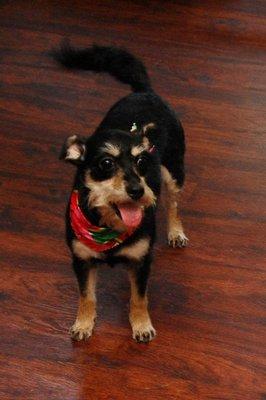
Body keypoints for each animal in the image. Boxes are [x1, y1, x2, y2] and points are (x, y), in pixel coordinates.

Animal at [53, 44, 187, 344]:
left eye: (142, 162)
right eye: (106, 163)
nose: (138, 191)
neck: (108, 227)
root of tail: (145, 91)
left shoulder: (141, 261)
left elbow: (139, 299)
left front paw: (141, 326)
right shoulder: (81, 260)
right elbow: (86, 296)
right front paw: (83, 324)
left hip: (174, 171)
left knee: (174, 204)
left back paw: (176, 232)